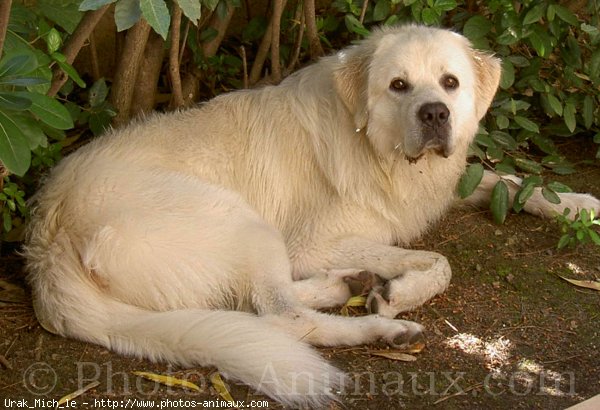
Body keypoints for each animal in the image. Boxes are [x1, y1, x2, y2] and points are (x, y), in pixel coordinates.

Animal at [24, 26, 600, 406]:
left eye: (450, 83)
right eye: (398, 85)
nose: (435, 114)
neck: (378, 149)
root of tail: (47, 240)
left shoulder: (444, 180)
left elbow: (508, 182)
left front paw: (580, 205)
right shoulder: (313, 242)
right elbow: (437, 260)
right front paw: (398, 295)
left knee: (257, 306)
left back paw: (345, 284)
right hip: (242, 221)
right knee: (282, 319)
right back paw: (382, 327)